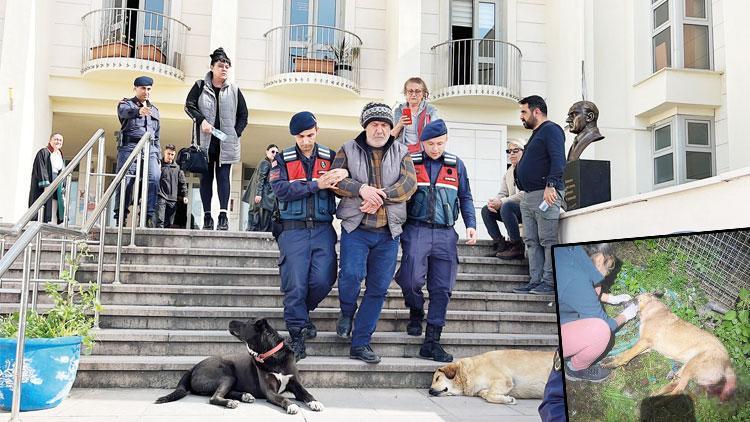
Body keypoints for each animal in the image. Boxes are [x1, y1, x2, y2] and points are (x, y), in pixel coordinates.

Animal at [156, 318, 324, 414]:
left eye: (246, 323)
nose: (229, 321)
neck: (272, 355)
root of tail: (193, 367)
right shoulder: (270, 392)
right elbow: (282, 398)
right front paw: (291, 405)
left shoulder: (295, 384)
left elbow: (306, 394)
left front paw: (315, 402)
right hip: (228, 375)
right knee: (214, 397)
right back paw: (231, 402)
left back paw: (245, 396)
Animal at [426, 348, 556, 404]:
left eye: (437, 378)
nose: (430, 391)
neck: (468, 372)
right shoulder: (481, 389)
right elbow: (485, 394)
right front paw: (506, 398)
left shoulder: (504, 380)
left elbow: (489, 395)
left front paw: (507, 399)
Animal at [604, 292, 736, 400]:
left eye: (635, 299)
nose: (622, 303)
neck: (653, 310)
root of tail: (727, 362)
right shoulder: (647, 346)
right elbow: (625, 353)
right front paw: (612, 360)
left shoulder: (644, 342)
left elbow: (627, 354)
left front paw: (614, 363)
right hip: (683, 369)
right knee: (674, 385)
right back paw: (656, 395)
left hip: (691, 367)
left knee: (679, 389)